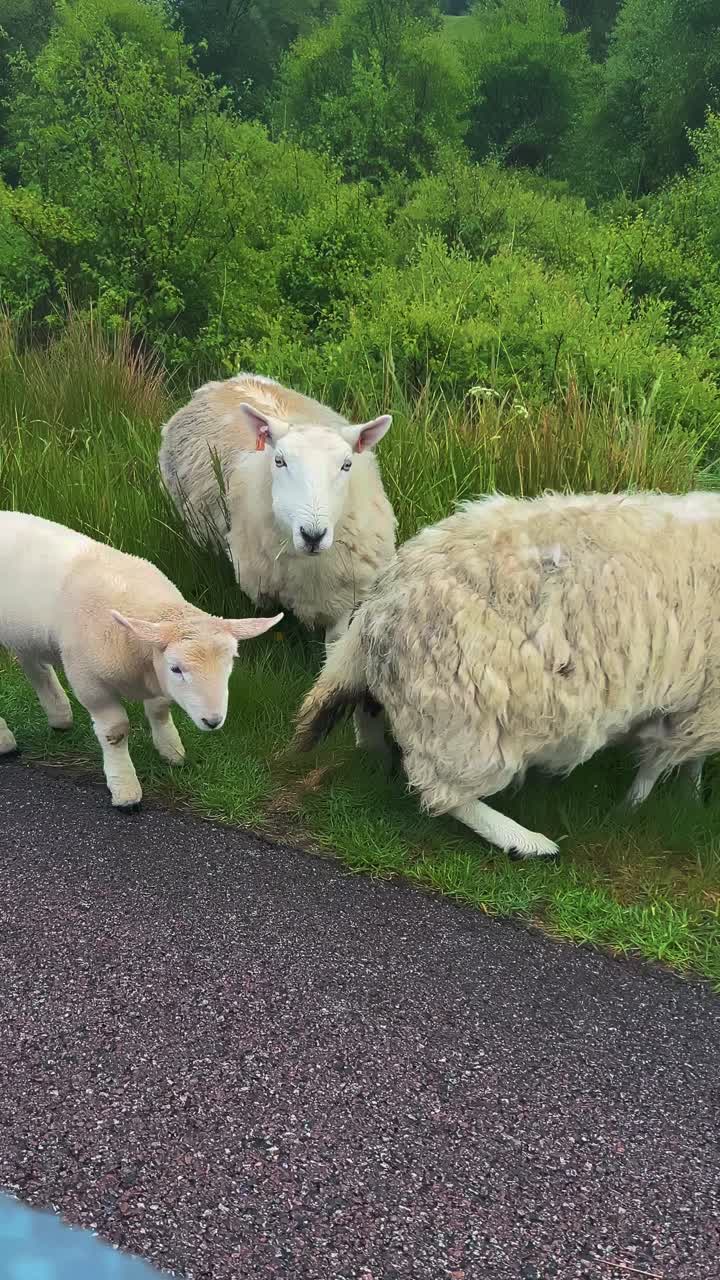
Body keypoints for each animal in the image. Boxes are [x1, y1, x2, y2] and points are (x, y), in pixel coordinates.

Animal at [0, 512, 282, 809]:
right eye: (176, 668)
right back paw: (5, 739)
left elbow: (159, 710)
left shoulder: (155, 677)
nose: (213, 721)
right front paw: (124, 787)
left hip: (24, 632)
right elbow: (116, 730)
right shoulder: (89, 682)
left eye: (230, 663)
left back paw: (59, 715)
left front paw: (171, 750)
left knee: (34, 664)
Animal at [158, 373, 396, 647]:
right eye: (279, 461)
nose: (312, 535)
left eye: (347, 464)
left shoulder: (343, 596)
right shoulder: (261, 588)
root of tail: (222, 383)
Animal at [293, 490, 720, 859]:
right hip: (464, 715)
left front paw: (687, 794)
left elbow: (681, 757)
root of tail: (383, 599)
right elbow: (660, 760)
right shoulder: (704, 704)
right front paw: (639, 805)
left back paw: (377, 755)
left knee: (368, 713)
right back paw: (526, 841)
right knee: (440, 790)